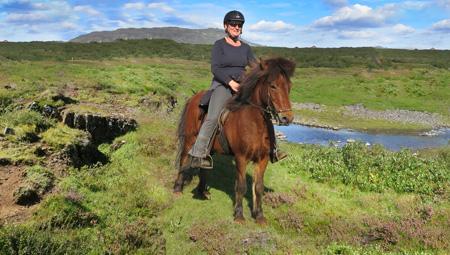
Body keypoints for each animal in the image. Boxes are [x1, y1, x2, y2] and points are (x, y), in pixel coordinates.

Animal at [172, 57, 296, 223]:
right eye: (273, 86)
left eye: (289, 87)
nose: (287, 118)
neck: (255, 123)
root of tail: (193, 97)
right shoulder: (241, 158)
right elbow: (241, 186)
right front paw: (239, 215)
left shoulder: (263, 159)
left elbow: (258, 187)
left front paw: (259, 216)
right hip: (189, 139)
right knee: (183, 159)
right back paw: (177, 188)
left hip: (209, 148)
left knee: (204, 166)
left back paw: (202, 192)